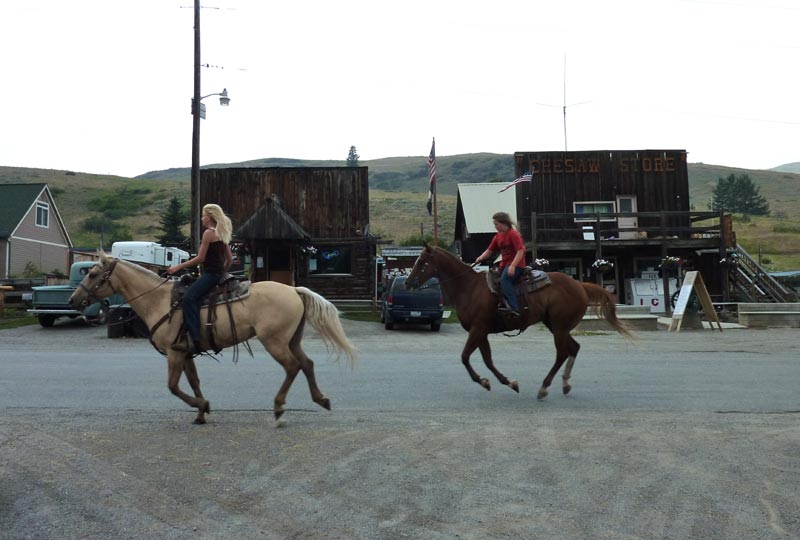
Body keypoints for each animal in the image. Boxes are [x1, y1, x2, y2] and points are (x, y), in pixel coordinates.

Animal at [69, 253, 356, 426]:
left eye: (92, 274)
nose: (73, 300)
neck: (159, 301)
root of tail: (294, 290)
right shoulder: (185, 352)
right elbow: (193, 382)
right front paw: (200, 414)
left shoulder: (174, 353)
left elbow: (173, 386)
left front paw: (203, 406)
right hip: (291, 339)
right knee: (307, 364)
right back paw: (321, 399)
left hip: (274, 341)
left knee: (293, 367)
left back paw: (278, 409)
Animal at [406, 245, 632, 400]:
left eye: (422, 262)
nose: (408, 283)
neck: (468, 288)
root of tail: (580, 285)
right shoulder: (481, 331)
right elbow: (487, 360)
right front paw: (506, 382)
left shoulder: (477, 329)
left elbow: (465, 357)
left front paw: (486, 381)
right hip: (555, 326)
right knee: (574, 348)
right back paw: (565, 384)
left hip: (559, 327)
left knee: (562, 353)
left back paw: (544, 387)